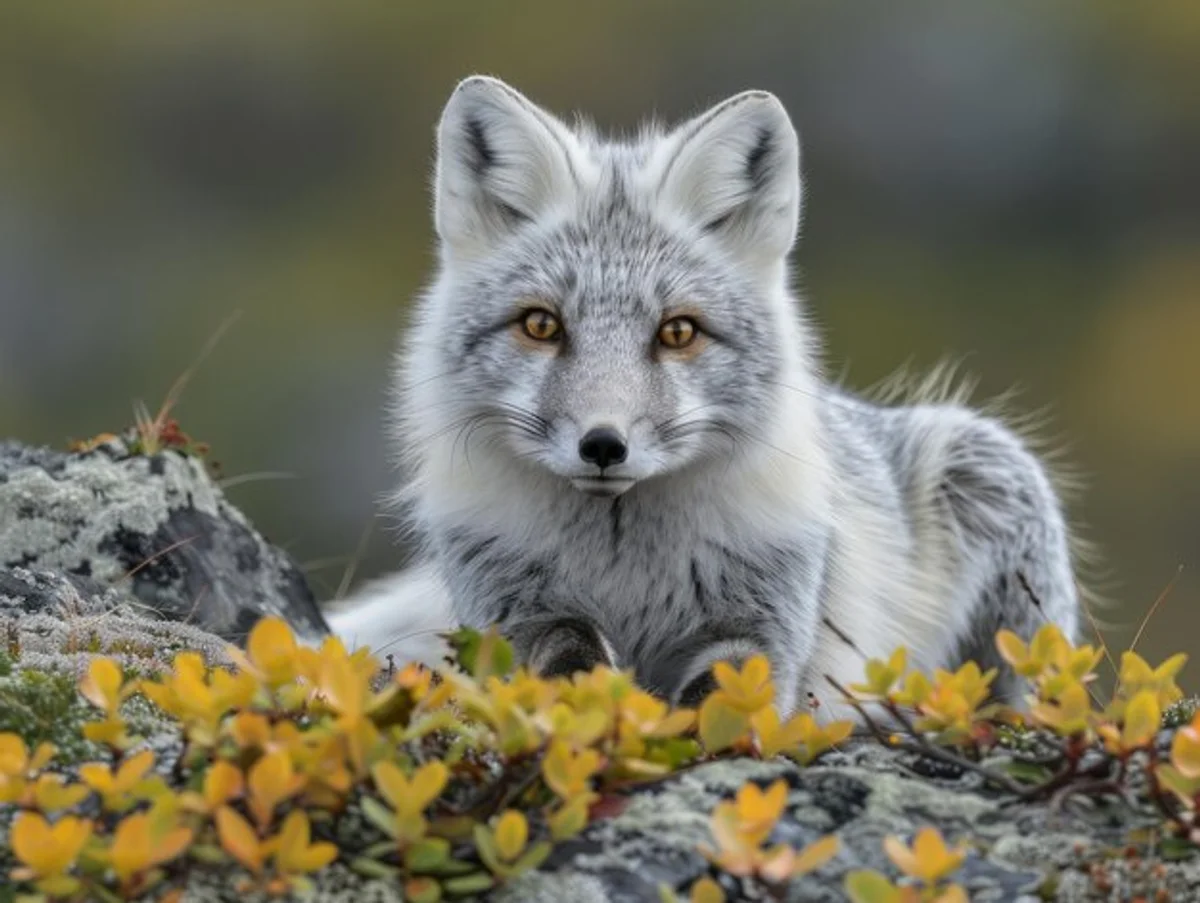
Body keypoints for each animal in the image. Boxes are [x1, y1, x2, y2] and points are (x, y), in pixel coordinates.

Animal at [326, 75, 1083, 720]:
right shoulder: (514, 610)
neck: (625, 567)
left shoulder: (763, 620)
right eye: (541, 325)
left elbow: (724, 700)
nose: (603, 444)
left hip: (988, 487)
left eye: (678, 331)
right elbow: (571, 667)